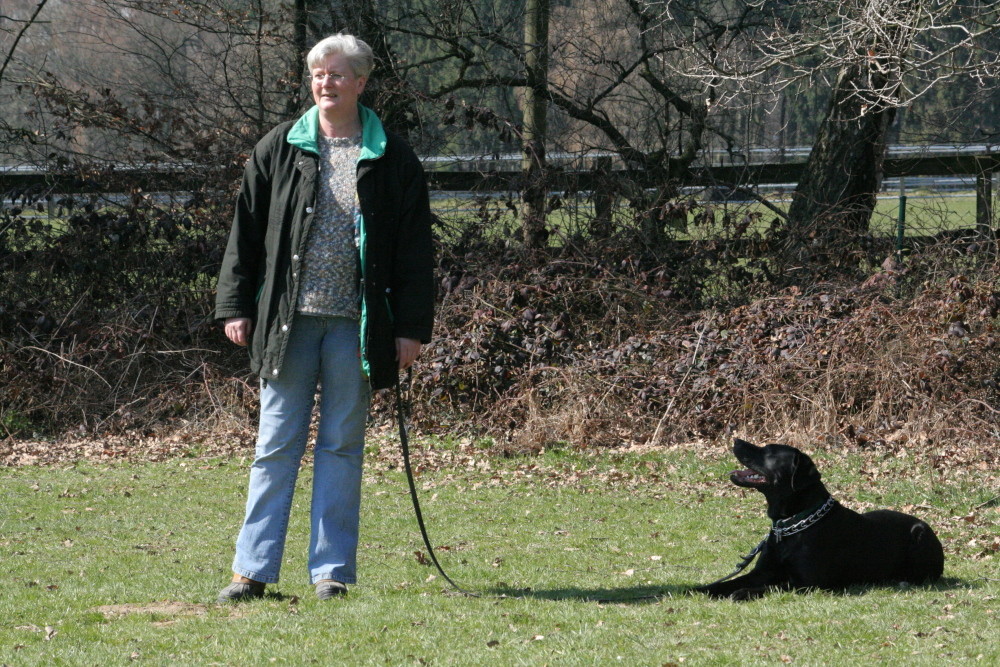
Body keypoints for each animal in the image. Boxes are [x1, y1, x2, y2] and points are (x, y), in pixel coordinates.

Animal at [696, 438, 944, 600]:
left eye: (769, 451)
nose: (735, 439)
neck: (791, 524)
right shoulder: (762, 572)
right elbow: (730, 581)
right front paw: (702, 589)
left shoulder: (806, 583)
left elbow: (773, 586)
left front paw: (743, 593)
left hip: (919, 535)